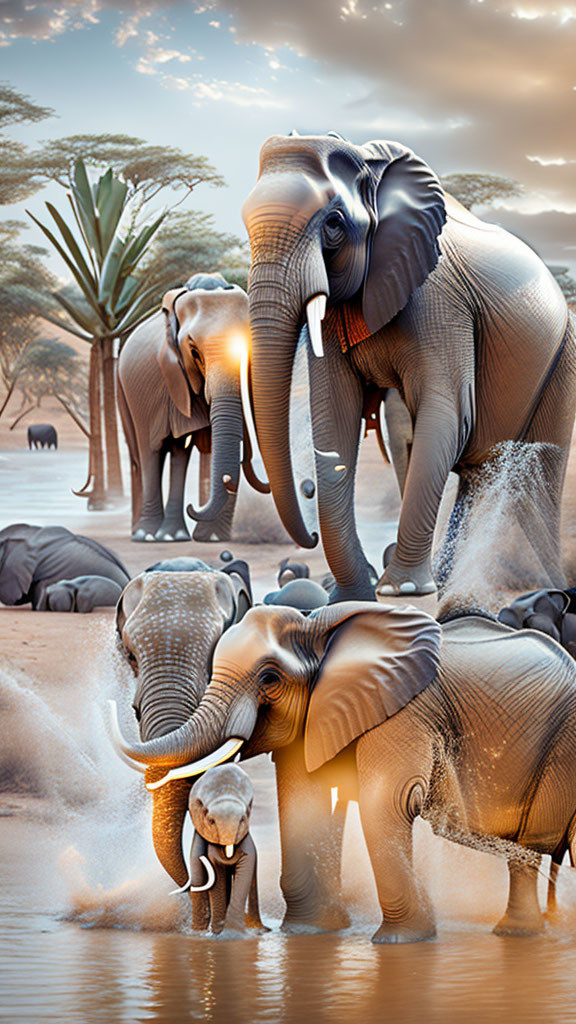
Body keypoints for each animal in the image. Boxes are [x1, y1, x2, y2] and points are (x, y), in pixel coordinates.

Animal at [118, 272, 266, 544]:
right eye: (194, 352)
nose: (193, 507)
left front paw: (212, 538)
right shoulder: (174, 376)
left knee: (174, 451)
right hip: (124, 389)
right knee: (147, 451)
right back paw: (145, 535)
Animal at [170, 761, 264, 937]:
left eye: (242, 819)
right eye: (212, 821)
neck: (227, 795)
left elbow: (246, 866)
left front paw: (233, 935)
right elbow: (215, 869)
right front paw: (220, 934)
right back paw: (199, 931)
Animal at [241, 134, 573, 598]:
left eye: (333, 225)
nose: (308, 535)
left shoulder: (442, 301)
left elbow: (446, 415)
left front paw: (402, 591)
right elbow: (336, 416)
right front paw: (352, 595)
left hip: (562, 357)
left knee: (539, 477)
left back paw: (547, 585)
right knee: (479, 476)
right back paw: (453, 580)